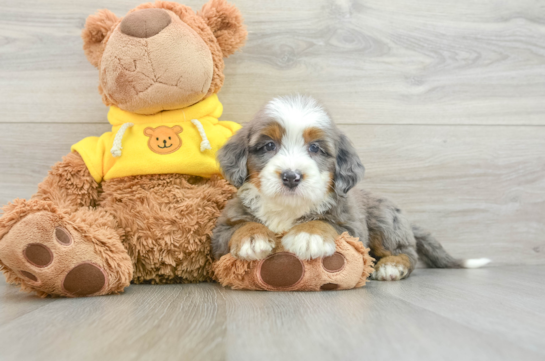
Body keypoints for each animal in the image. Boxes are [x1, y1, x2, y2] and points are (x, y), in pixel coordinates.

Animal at [210, 94, 490, 280]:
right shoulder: (221, 231)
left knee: (406, 251)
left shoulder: (352, 225)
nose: (291, 176)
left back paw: (392, 266)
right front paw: (253, 237)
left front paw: (308, 235)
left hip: (384, 222)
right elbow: (239, 227)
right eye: (269, 146)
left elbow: (325, 222)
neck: (288, 207)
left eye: (315, 148)